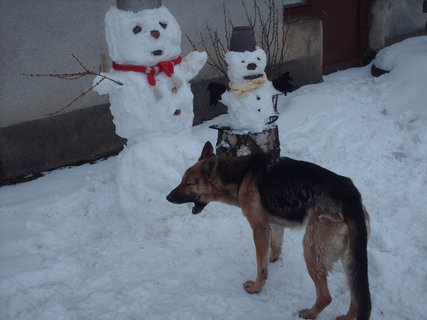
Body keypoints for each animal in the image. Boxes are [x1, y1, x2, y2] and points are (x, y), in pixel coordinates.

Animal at [166, 142, 372, 320]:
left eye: (188, 184)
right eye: (181, 181)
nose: (167, 197)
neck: (240, 176)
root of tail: (352, 197)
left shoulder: (259, 228)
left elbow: (261, 266)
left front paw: (257, 288)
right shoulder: (274, 224)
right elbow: (275, 246)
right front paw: (273, 258)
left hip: (311, 251)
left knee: (326, 297)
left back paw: (310, 313)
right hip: (349, 259)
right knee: (356, 296)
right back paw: (346, 316)